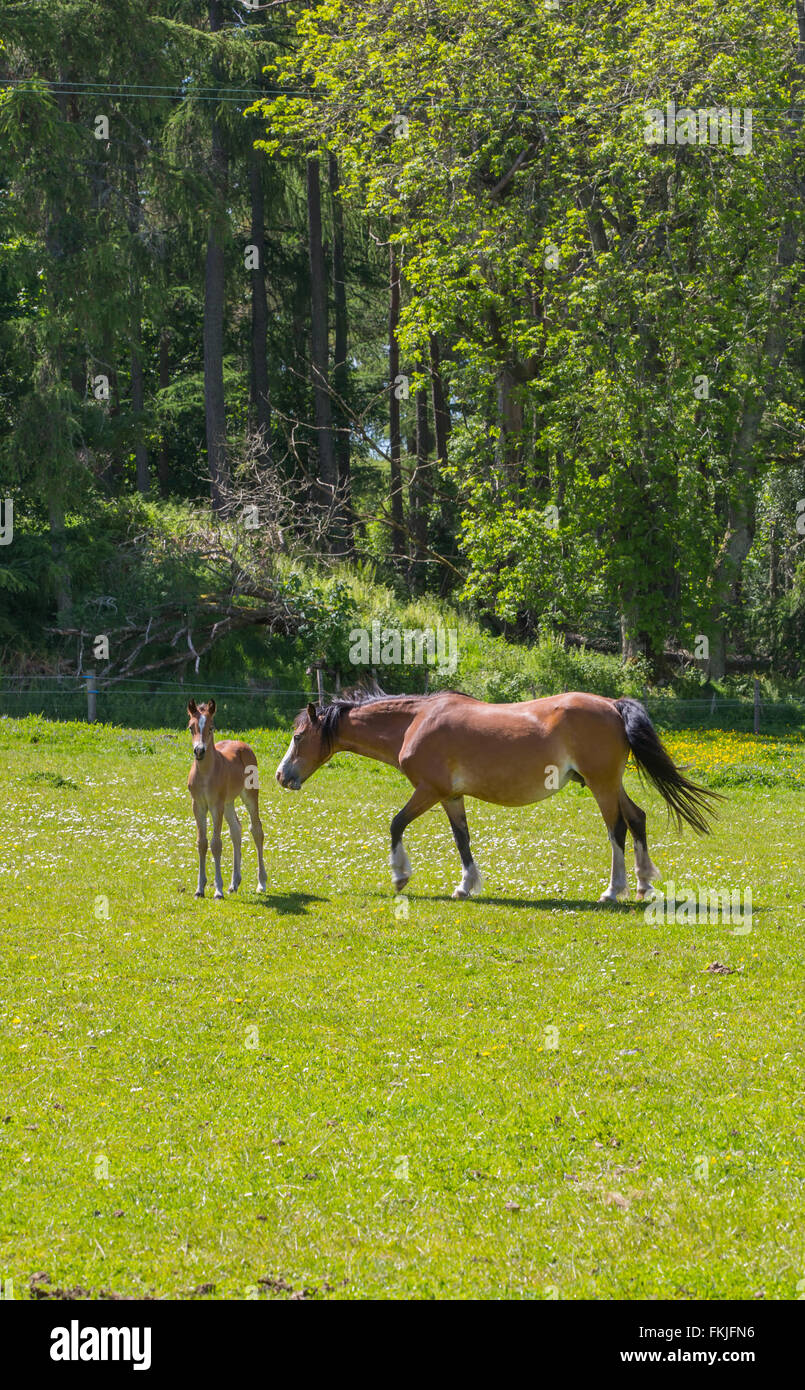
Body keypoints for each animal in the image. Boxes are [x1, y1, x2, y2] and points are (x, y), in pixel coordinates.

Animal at [186, 698, 267, 899]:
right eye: (191, 727)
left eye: (211, 727)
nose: (199, 751)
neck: (205, 774)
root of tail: (242, 744)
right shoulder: (198, 805)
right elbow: (202, 843)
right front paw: (200, 889)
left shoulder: (216, 806)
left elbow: (216, 844)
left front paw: (218, 890)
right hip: (229, 802)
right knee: (236, 830)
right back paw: (234, 883)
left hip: (249, 795)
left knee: (257, 830)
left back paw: (261, 883)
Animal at [275, 689, 721, 902]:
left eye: (297, 736)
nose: (281, 775)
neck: (415, 722)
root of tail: (612, 705)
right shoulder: (451, 796)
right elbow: (462, 839)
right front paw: (465, 885)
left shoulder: (429, 790)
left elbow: (396, 823)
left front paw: (401, 876)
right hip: (611, 784)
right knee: (638, 818)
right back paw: (643, 886)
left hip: (602, 785)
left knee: (617, 829)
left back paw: (615, 890)